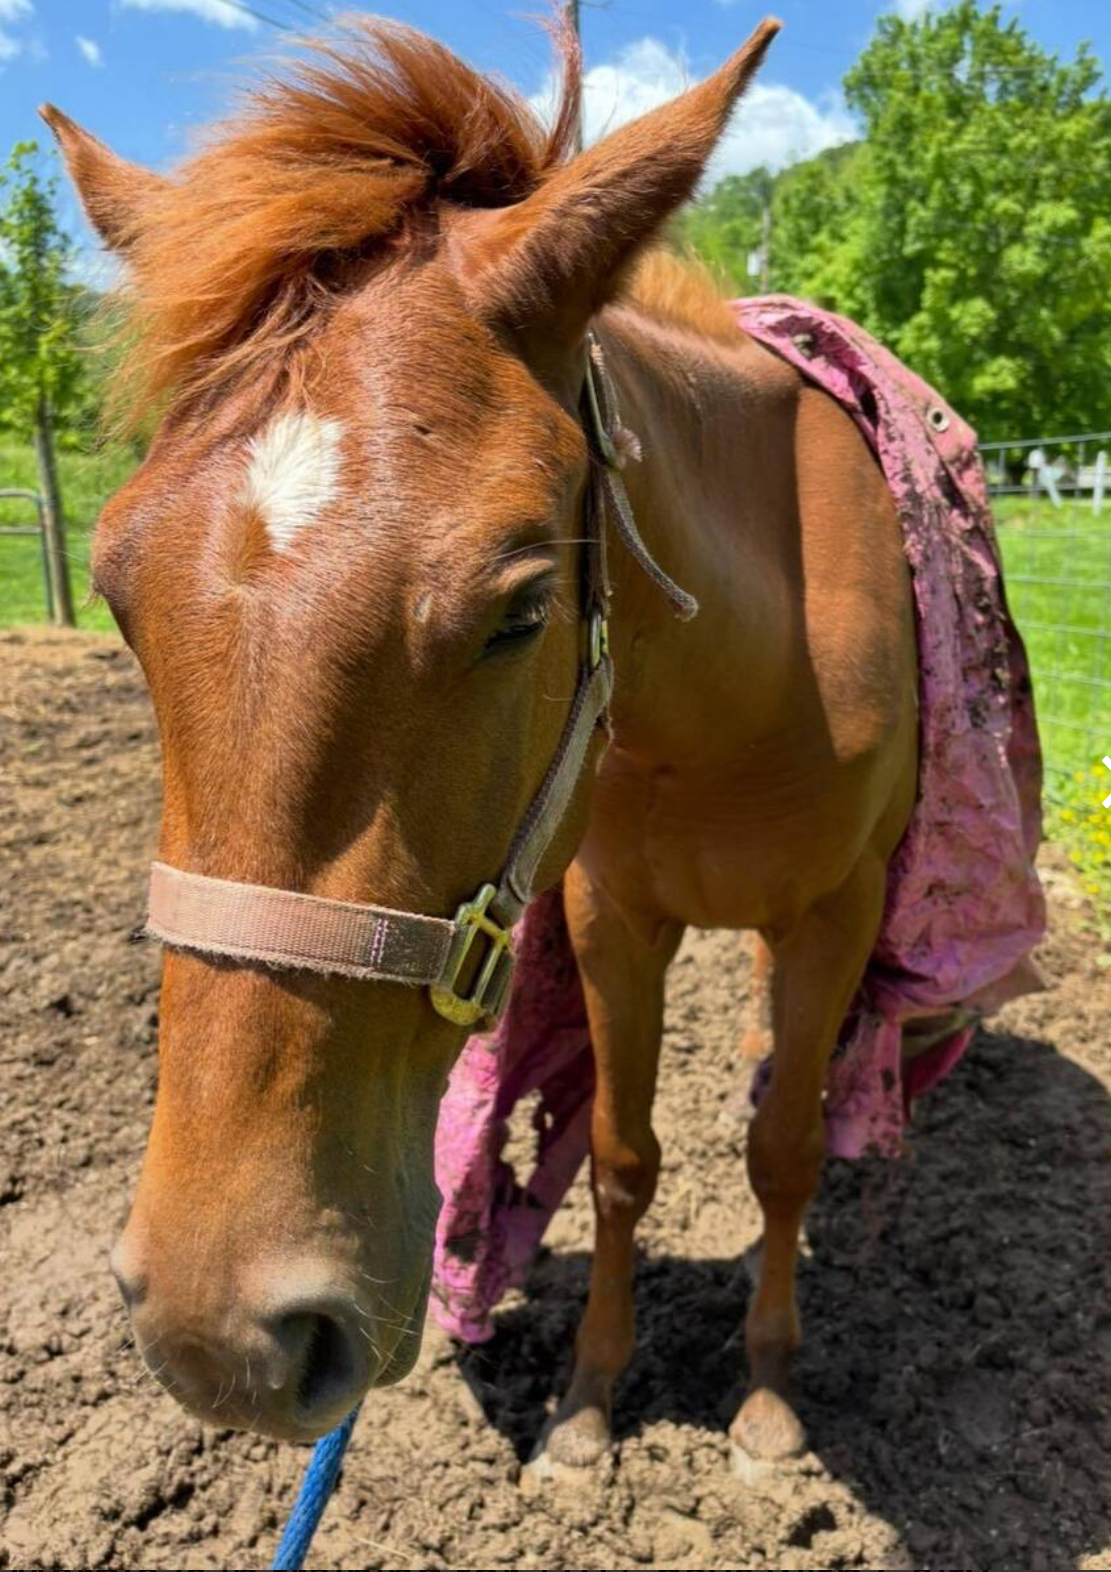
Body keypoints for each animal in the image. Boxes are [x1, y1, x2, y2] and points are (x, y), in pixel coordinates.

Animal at [46, 15, 924, 1472]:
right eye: (120, 596)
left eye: (520, 608)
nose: (217, 1334)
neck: (749, 681)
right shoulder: (611, 913)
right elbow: (621, 1159)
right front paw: (586, 1402)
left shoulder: (835, 911)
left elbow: (783, 1152)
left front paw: (765, 1397)